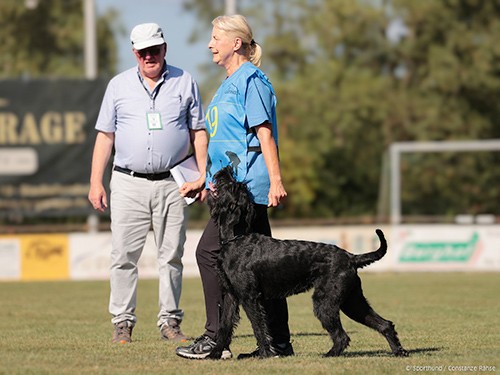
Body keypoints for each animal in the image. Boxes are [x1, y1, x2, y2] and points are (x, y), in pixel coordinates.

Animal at [206, 168, 406, 362]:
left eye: (233, 186)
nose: (226, 169)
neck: (235, 238)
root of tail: (351, 257)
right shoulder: (231, 295)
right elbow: (224, 327)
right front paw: (213, 355)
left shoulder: (250, 298)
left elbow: (259, 327)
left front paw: (264, 355)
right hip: (353, 302)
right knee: (384, 324)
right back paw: (399, 352)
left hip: (325, 302)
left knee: (342, 336)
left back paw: (329, 355)